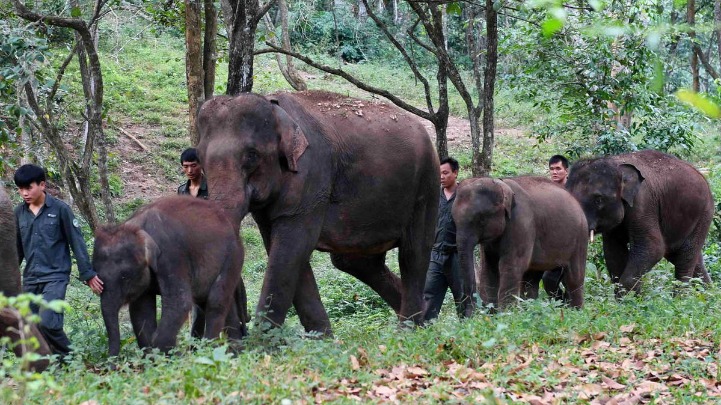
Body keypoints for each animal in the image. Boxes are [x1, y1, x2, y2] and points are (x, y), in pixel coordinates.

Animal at [93, 196, 248, 356]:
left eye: (125, 277)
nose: (111, 361)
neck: (138, 227)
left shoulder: (171, 255)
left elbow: (179, 303)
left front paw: (168, 355)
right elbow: (140, 310)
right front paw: (154, 357)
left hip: (233, 257)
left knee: (215, 300)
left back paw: (210, 349)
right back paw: (235, 352)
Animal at [194, 89, 436, 332]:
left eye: (252, 154)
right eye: (200, 157)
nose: (240, 330)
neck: (273, 107)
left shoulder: (312, 176)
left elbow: (291, 248)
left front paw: (262, 341)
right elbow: (282, 249)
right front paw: (323, 337)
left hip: (425, 185)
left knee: (413, 254)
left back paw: (409, 329)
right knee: (356, 261)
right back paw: (424, 316)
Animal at [452, 175, 588, 310]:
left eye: (481, 219)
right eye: (453, 219)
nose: (470, 313)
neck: (502, 184)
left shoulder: (522, 223)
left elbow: (510, 265)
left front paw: (506, 312)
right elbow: (490, 266)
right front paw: (491, 312)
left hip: (580, 237)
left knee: (573, 277)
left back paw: (575, 310)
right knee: (532, 278)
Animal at [568, 148, 716, 294]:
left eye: (598, 200)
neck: (615, 164)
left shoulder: (643, 202)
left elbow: (653, 247)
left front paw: (632, 297)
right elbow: (613, 252)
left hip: (703, 213)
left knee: (685, 256)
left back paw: (682, 297)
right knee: (684, 256)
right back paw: (708, 294)